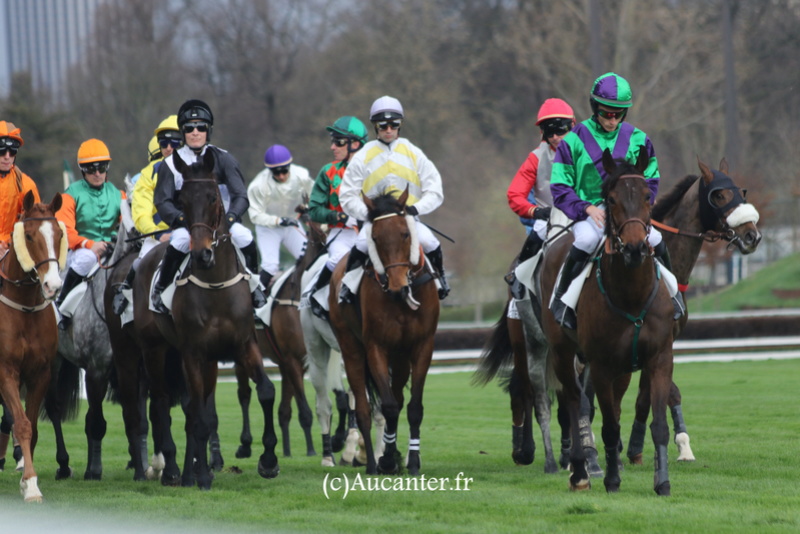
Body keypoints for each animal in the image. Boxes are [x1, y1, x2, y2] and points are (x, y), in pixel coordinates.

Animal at [130, 151, 280, 490]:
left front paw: (268, 461)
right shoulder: (193, 353)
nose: (202, 255)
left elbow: (265, 391)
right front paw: (199, 476)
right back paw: (173, 471)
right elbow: (196, 414)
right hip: (155, 350)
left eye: (213, 197)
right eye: (182, 200)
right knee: (161, 405)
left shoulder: (243, 345)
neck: (215, 286)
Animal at [326, 191, 438, 476]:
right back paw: (370, 463)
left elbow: (413, 407)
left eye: (405, 234)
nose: (398, 287)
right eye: (375, 238)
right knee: (364, 409)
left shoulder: (422, 345)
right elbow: (387, 407)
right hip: (351, 349)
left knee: (397, 396)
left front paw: (411, 460)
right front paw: (386, 459)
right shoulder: (376, 346)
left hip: (400, 358)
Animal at [540, 149, 680, 496]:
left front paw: (662, 482)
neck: (632, 296)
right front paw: (612, 479)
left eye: (647, 196)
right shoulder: (601, 365)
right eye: (612, 199)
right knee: (574, 402)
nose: (634, 248)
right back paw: (579, 471)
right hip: (563, 353)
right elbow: (609, 425)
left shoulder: (659, 359)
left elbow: (657, 423)